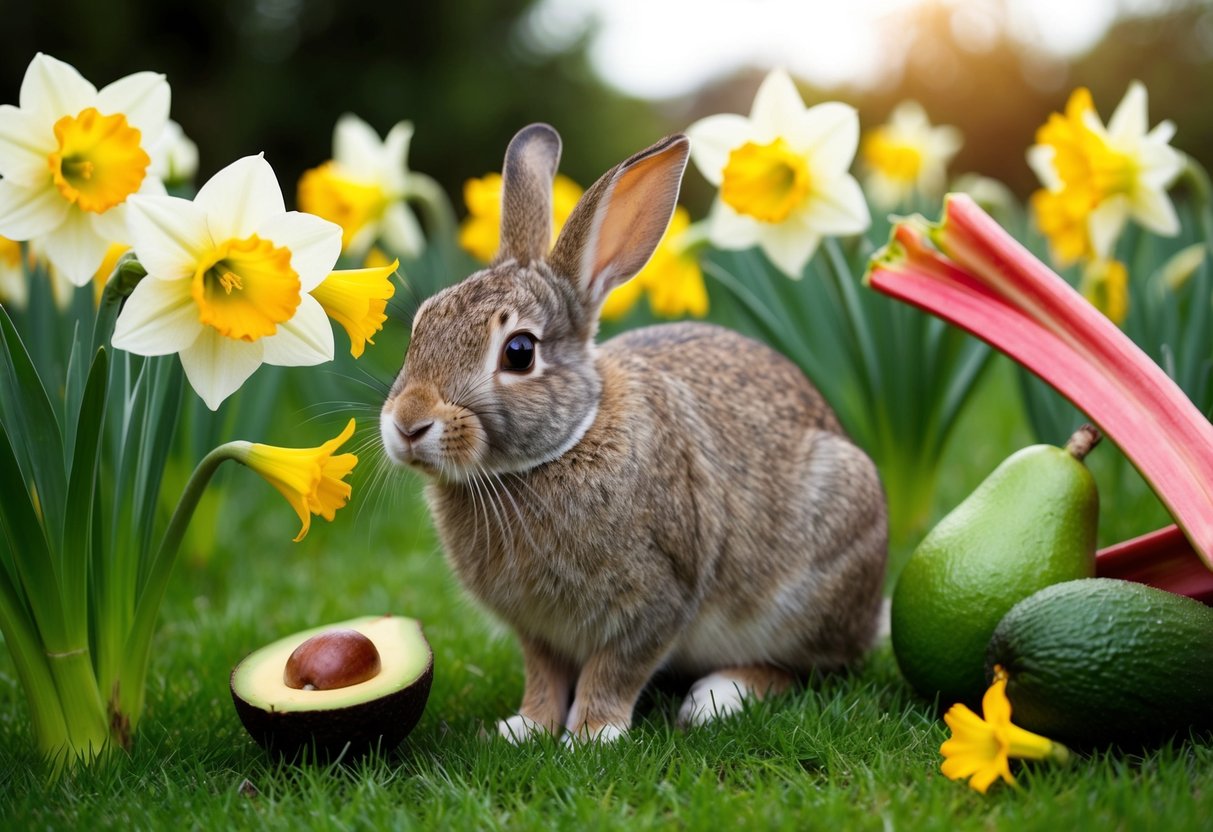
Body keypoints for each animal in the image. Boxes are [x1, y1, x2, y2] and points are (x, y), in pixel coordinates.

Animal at [380, 123, 887, 743]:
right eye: (420, 325)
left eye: (519, 352)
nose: (407, 425)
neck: (560, 449)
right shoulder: (537, 631)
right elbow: (543, 676)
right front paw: (524, 728)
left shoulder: (658, 597)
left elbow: (616, 669)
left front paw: (592, 736)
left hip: (809, 587)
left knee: (805, 667)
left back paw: (718, 697)